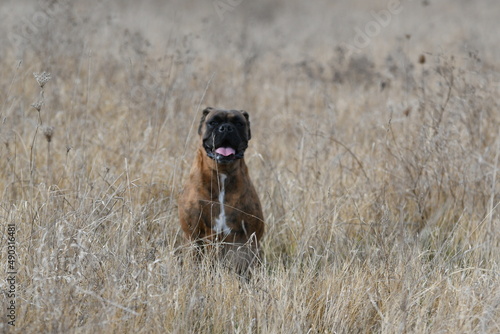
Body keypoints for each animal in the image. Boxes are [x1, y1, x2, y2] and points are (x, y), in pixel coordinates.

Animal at [180, 107, 266, 274]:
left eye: (239, 123)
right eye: (213, 122)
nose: (226, 128)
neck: (222, 173)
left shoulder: (247, 241)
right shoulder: (193, 237)